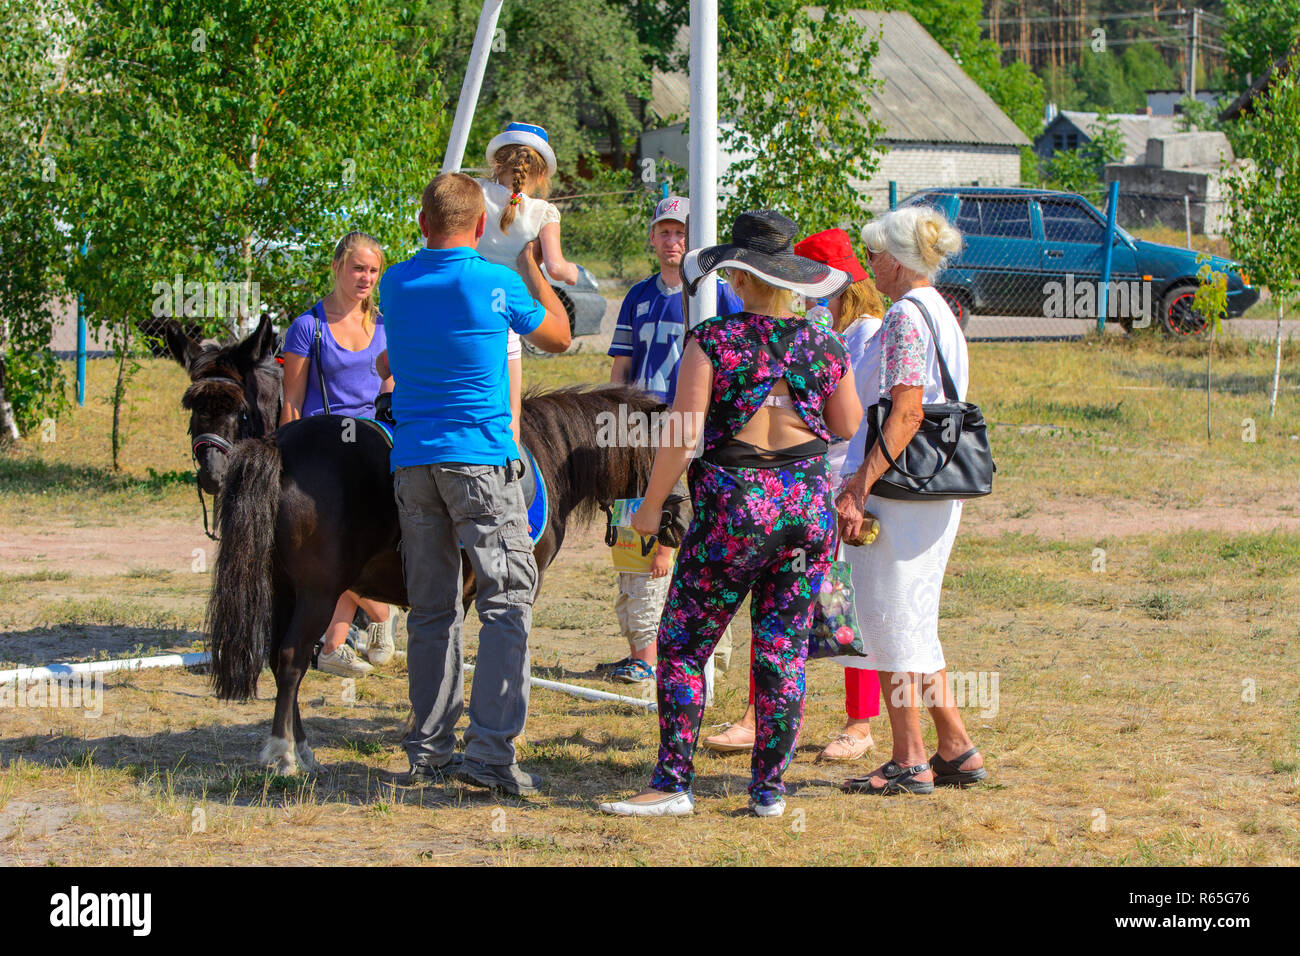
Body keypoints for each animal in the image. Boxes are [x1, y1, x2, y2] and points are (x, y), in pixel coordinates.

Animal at [205, 385, 670, 775]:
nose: (674, 528)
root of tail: (277, 445)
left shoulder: (452, 594)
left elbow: (441, 657)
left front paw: (423, 731)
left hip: (282, 588)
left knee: (278, 659)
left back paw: (300, 748)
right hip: (317, 594)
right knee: (291, 660)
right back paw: (284, 753)